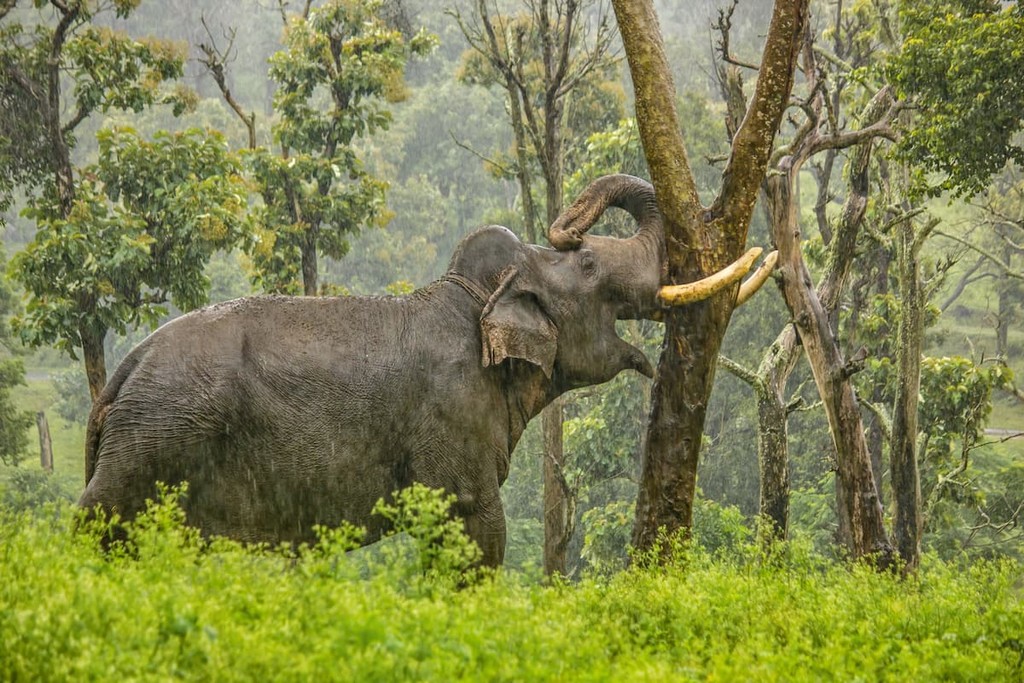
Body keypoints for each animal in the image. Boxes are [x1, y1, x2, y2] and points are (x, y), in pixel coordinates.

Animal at [78, 174, 768, 566]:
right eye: (591, 264)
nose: (569, 224)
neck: (472, 296)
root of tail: (121, 376)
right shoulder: (453, 417)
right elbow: (478, 527)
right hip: (153, 442)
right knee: (100, 525)